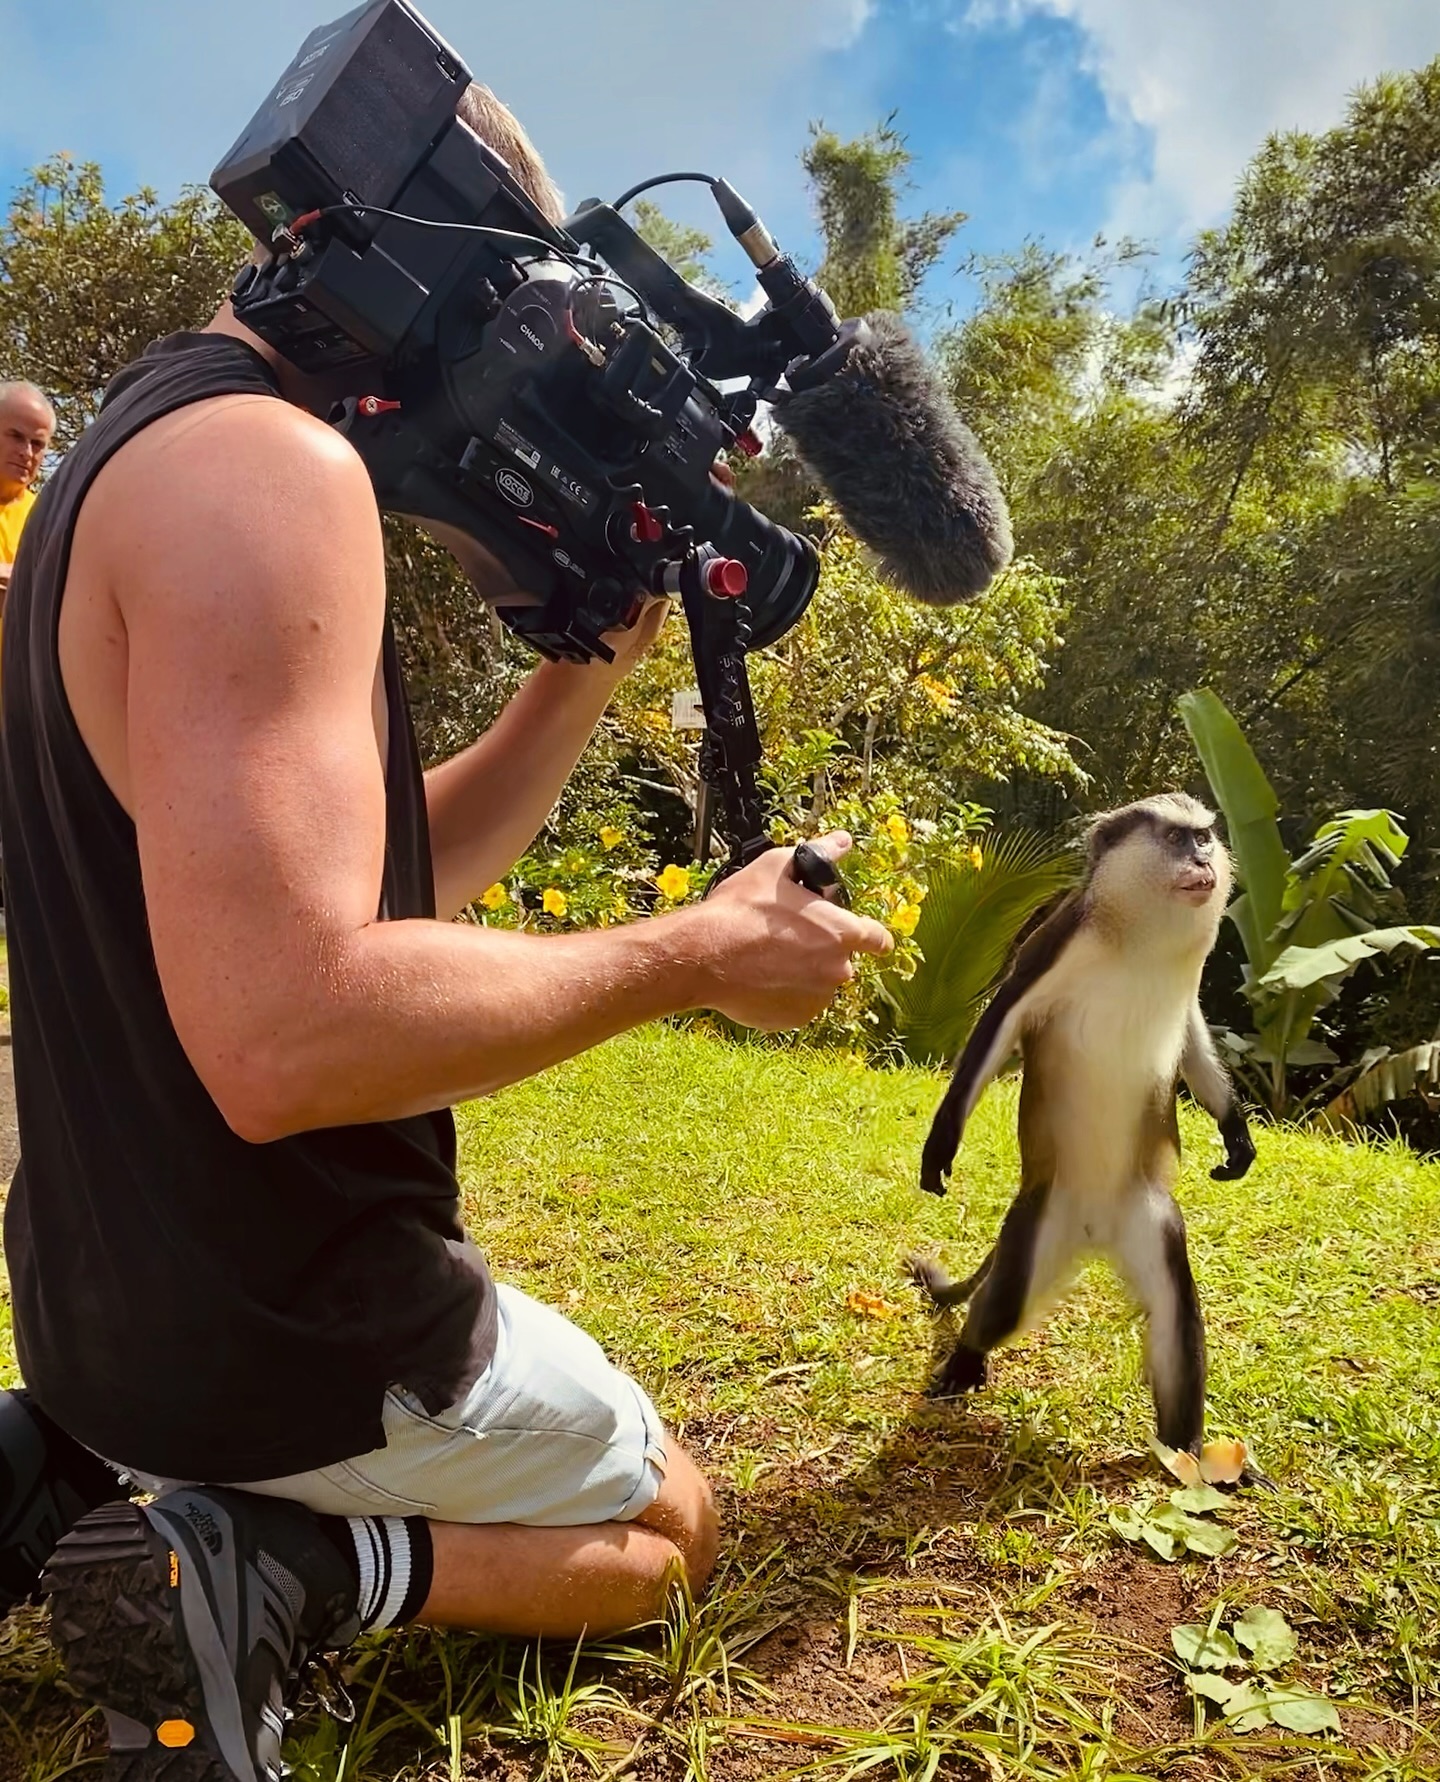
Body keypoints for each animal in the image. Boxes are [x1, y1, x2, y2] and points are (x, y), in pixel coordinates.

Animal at [907, 793, 1256, 1456]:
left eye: (1204, 837)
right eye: (1176, 839)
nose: (1203, 861)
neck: (1140, 943)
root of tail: (1095, 1229)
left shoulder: (1187, 994)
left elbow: (1194, 1039)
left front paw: (1237, 1137)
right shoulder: (1055, 944)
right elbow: (997, 1025)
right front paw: (940, 1147)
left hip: (1147, 1218)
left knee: (1176, 1316)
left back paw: (1186, 1451)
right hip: (1044, 1214)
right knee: (1007, 1302)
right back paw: (965, 1362)